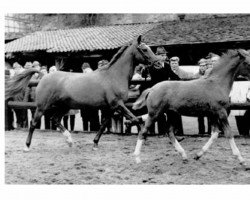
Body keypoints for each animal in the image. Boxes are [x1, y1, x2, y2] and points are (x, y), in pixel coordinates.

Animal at [6, 36, 162, 152]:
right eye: (144, 49)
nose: (159, 64)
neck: (113, 76)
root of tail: (43, 76)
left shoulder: (111, 108)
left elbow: (104, 124)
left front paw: (95, 143)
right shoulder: (117, 104)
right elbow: (135, 119)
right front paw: (142, 137)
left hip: (63, 107)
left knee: (55, 120)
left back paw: (70, 141)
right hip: (41, 107)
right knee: (34, 123)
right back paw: (27, 146)